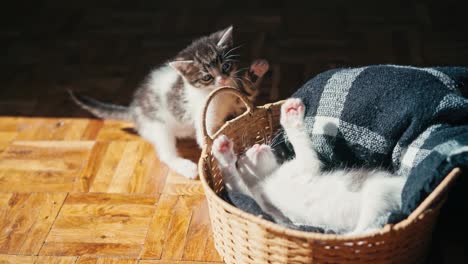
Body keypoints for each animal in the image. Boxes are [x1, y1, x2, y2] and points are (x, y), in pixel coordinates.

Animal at [72, 26, 270, 179]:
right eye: (207, 77)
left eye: (226, 67)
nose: (222, 80)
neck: (217, 95)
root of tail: (134, 108)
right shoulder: (202, 114)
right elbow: (205, 134)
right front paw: (217, 146)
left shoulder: (235, 99)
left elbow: (246, 96)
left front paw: (258, 68)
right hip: (158, 127)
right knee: (165, 153)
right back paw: (185, 166)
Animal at [212, 98, 406, 235]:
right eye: (242, 158)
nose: (257, 146)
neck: (266, 179)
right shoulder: (265, 209)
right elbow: (236, 186)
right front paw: (224, 156)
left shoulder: (304, 166)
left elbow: (304, 151)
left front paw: (291, 117)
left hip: (378, 190)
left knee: (369, 228)